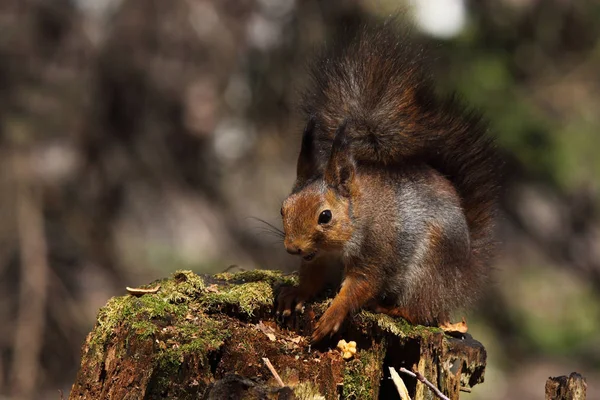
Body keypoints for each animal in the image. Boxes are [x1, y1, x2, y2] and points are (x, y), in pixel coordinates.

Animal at [278, 20, 502, 342]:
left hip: (428, 271)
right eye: (283, 209)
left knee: (419, 312)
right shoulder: (317, 259)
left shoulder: (376, 252)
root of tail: (464, 273)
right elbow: (312, 279)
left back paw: (388, 308)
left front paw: (332, 315)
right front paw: (295, 294)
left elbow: (361, 285)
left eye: (325, 216)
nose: (293, 248)